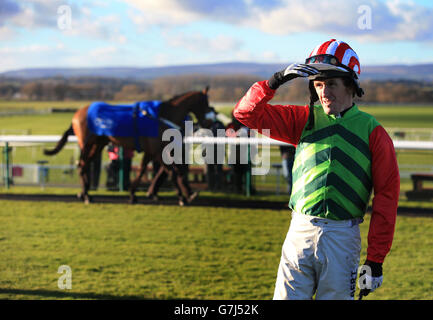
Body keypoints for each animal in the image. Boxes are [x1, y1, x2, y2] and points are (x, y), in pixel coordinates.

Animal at [44, 86, 211, 204]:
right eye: (206, 103)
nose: (208, 123)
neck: (160, 116)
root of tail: (77, 114)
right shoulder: (157, 150)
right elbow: (172, 171)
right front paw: (183, 196)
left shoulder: (153, 150)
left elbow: (146, 170)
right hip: (86, 143)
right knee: (82, 164)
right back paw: (85, 195)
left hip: (98, 144)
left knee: (84, 164)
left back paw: (85, 193)